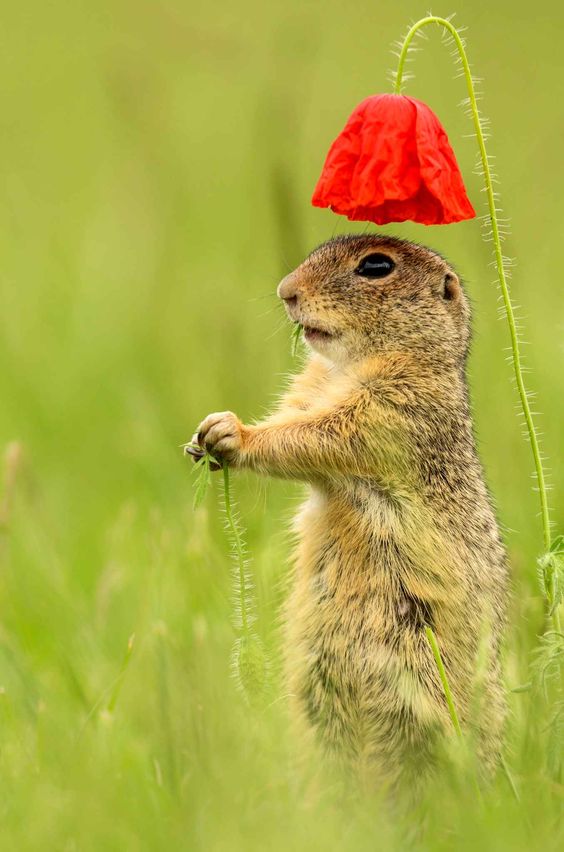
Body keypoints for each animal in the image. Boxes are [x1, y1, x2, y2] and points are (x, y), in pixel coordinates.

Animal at [192, 235, 508, 792]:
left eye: (376, 266)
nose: (286, 291)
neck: (348, 365)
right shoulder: (309, 387)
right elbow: (295, 416)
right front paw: (208, 429)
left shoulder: (394, 409)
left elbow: (313, 435)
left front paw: (235, 434)